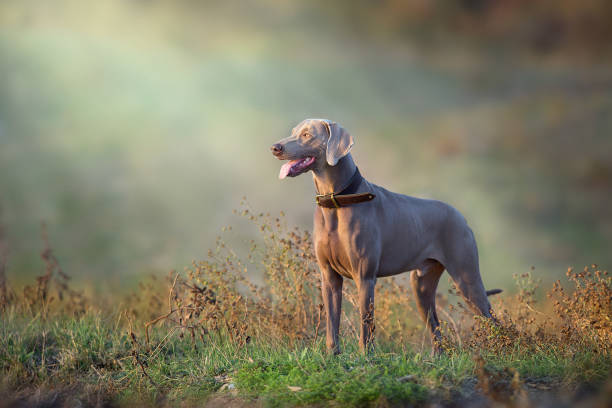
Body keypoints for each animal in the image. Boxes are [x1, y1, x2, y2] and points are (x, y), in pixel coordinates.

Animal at [272, 118, 498, 354]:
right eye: (293, 132)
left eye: (307, 135)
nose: (275, 147)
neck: (336, 201)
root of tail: (461, 217)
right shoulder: (329, 277)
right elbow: (332, 324)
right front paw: (332, 356)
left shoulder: (365, 278)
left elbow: (366, 324)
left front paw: (366, 357)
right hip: (421, 286)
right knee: (436, 329)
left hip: (467, 278)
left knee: (493, 320)